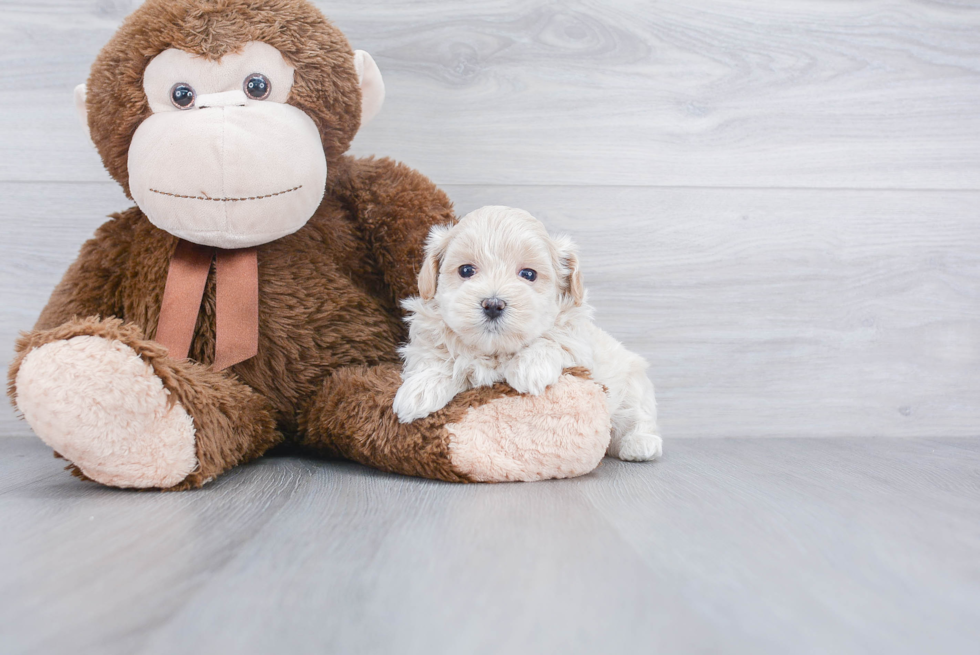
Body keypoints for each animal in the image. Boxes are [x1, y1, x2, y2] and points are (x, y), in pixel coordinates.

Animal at [394, 205, 664, 462]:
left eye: (528, 274)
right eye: (466, 270)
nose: (493, 304)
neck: (495, 351)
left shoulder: (580, 346)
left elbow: (554, 339)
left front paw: (531, 368)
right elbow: (438, 356)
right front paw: (418, 391)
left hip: (633, 384)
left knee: (639, 415)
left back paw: (640, 443)